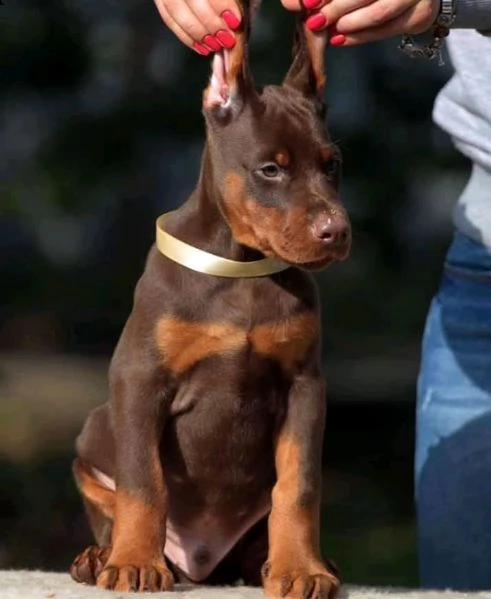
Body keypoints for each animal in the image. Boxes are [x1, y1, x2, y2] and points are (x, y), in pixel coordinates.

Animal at [70, 5, 350, 599]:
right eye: (271, 169)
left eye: (332, 163)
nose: (336, 232)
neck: (242, 266)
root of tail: (201, 563)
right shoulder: (139, 379)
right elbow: (142, 483)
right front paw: (134, 562)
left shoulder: (305, 386)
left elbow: (298, 488)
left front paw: (301, 569)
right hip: (94, 434)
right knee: (111, 499)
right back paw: (103, 556)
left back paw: (276, 563)